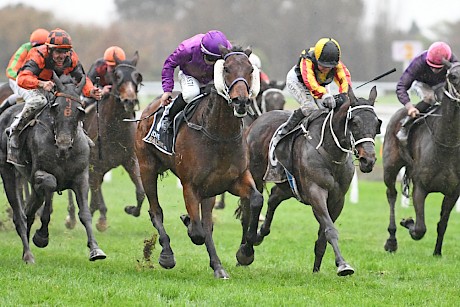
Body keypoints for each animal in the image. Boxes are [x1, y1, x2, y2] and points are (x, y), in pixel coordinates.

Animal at [0, 73, 106, 264]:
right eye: (55, 108)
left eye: (80, 110)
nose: (63, 144)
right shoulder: (39, 175)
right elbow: (49, 189)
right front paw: (42, 237)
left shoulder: (81, 178)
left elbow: (85, 214)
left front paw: (95, 249)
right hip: (8, 172)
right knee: (20, 216)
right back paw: (28, 255)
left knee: (28, 212)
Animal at [63, 51, 144, 232]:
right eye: (117, 75)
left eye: (137, 76)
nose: (129, 100)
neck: (115, 130)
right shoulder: (95, 165)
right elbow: (93, 194)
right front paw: (98, 219)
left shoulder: (130, 160)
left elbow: (141, 192)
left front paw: (131, 209)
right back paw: (72, 216)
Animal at [135, 45, 262, 280]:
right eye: (226, 68)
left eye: (250, 69)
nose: (241, 101)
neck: (219, 133)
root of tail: (149, 108)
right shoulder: (190, 186)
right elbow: (197, 232)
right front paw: (186, 223)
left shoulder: (235, 179)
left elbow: (256, 200)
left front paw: (246, 250)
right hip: (147, 168)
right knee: (156, 211)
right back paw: (167, 254)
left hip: (209, 190)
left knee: (206, 223)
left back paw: (218, 267)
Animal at [237, 86, 380, 276]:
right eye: (354, 122)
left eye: (377, 124)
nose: (368, 160)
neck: (330, 152)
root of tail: (257, 121)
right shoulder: (315, 192)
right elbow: (330, 229)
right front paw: (343, 265)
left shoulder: (338, 199)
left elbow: (323, 237)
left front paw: (317, 270)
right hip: (255, 176)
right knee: (248, 210)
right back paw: (245, 250)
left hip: (288, 186)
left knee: (274, 197)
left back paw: (260, 234)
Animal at [380, 59, 460, 256]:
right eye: (453, 76)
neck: (445, 144)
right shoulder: (420, 188)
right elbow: (419, 229)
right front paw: (407, 221)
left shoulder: (453, 192)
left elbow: (442, 224)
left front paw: (437, 252)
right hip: (390, 168)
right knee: (391, 194)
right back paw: (391, 240)